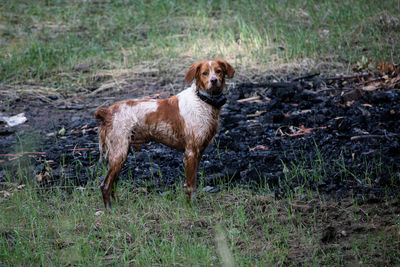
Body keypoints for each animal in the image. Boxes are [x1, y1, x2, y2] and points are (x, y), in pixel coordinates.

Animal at [95, 59, 234, 209]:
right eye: (205, 73)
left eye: (218, 71)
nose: (214, 80)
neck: (202, 100)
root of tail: (107, 112)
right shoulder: (191, 152)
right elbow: (191, 186)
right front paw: (191, 207)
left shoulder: (198, 152)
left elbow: (193, 184)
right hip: (118, 154)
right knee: (105, 185)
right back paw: (109, 209)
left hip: (120, 155)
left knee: (113, 183)